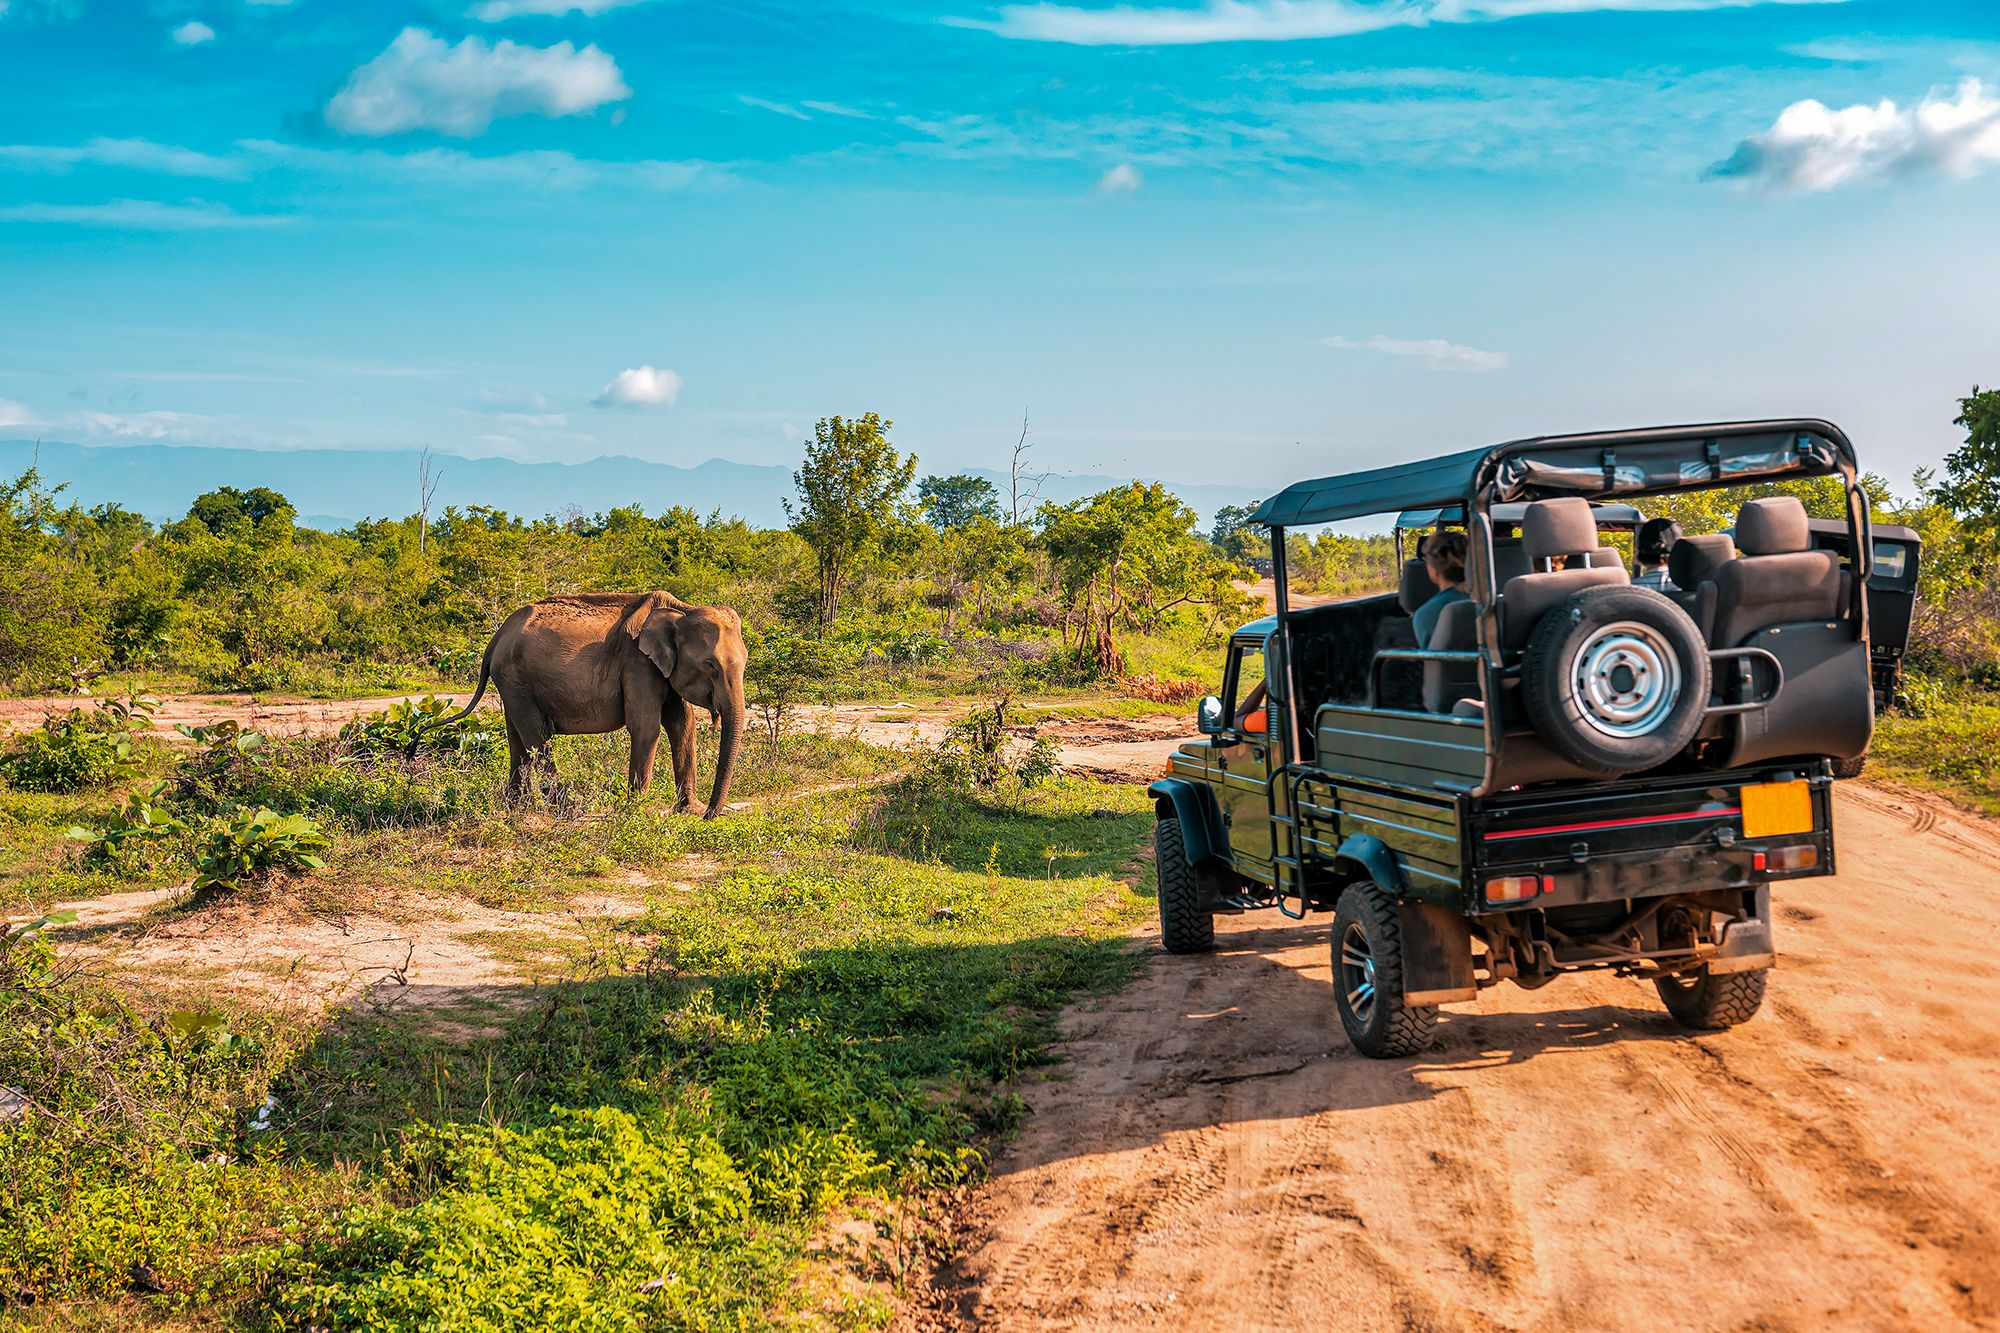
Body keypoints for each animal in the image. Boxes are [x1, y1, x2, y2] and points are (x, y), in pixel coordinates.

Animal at [426, 588, 748, 808]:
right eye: (711, 665)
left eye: (745, 661)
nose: (710, 814)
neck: (681, 609)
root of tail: (496, 637)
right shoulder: (637, 663)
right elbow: (646, 728)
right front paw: (637, 811)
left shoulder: (661, 669)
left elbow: (683, 725)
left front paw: (688, 810)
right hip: (515, 680)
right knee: (537, 737)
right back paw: (566, 809)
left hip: (510, 683)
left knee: (517, 740)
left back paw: (517, 809)